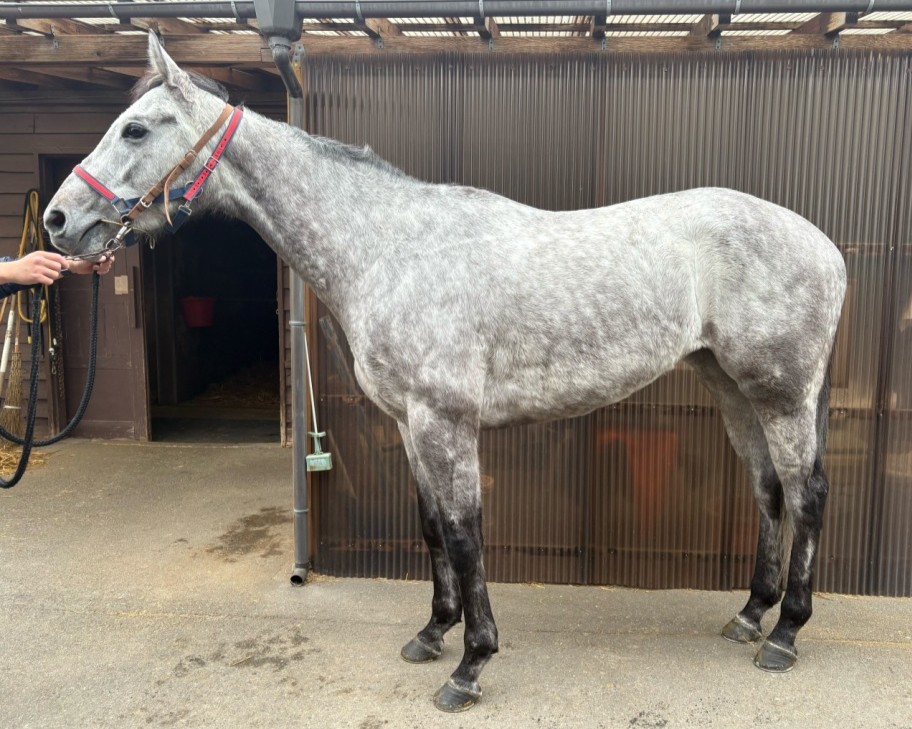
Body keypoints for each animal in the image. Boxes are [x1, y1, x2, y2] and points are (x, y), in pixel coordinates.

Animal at [44, 34, 846, 712]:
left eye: (136, 129)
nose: (58, 221)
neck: (388, 245)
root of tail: (825, 245)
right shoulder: (409, 422)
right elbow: (432, 528)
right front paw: (432, 634)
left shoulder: (445, 421)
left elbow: (465, 535)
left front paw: (470, 665)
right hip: (731, 387)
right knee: (769, 490)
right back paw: (749, 614)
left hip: (781, 393)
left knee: (806, 493)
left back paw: (784, 634)